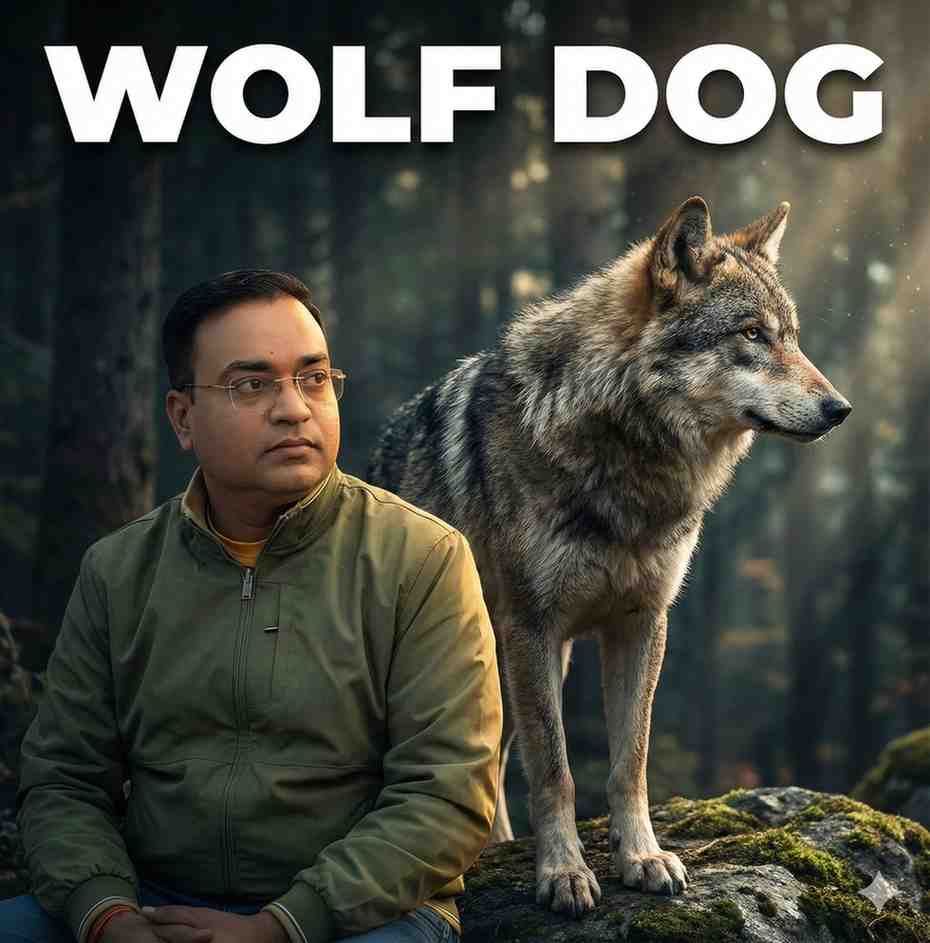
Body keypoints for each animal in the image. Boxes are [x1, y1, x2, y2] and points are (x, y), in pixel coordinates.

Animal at [367, 197, 852, 916]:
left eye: (791, 336)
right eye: (751, 334)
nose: (840, 408)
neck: (626, 456)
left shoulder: (642, 623)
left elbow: (630, 762)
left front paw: (643, 857)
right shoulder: (533, 628)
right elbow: (556, 770)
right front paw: (563, 872)